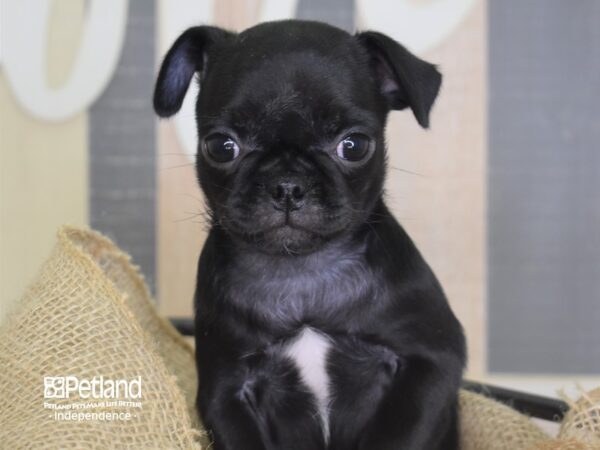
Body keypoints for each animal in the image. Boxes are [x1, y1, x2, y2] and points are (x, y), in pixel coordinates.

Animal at [154, 18, 464, 450]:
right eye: (221, 146)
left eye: (354, 146)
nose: (287, 184)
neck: (301, 273)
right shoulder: (226, 392)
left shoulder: (430, 362)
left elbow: (399, 432)